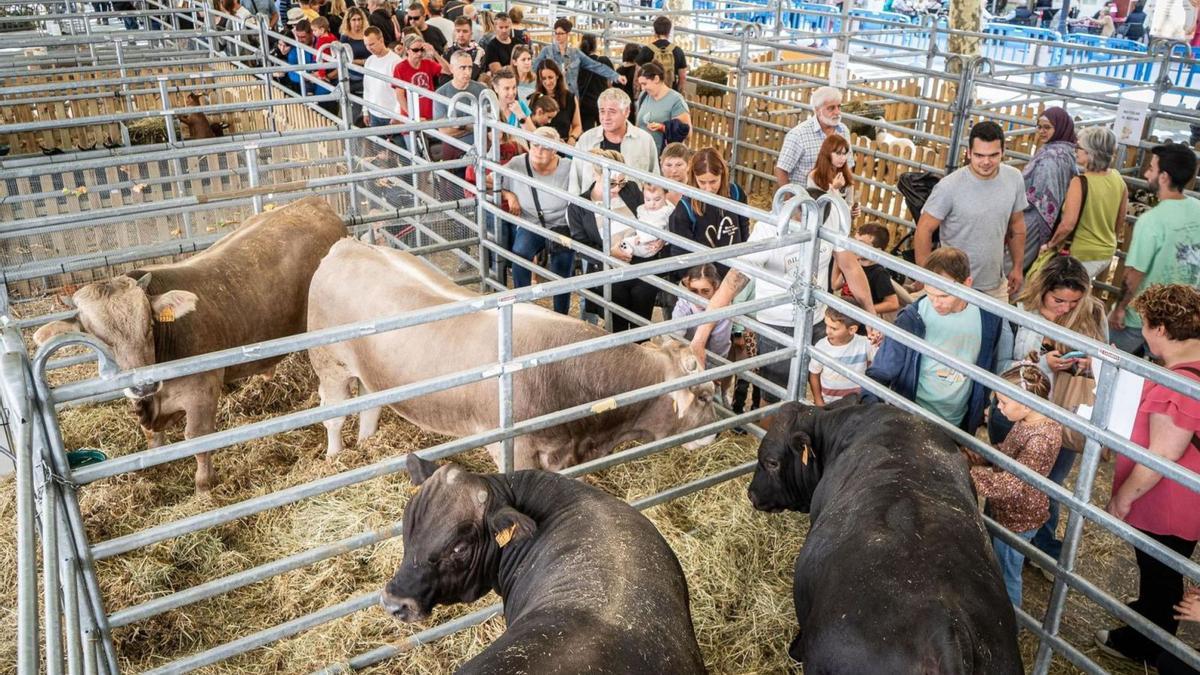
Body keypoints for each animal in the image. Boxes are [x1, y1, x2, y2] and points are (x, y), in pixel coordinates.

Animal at [36, 194, 348, 487]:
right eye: (98, 340)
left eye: (149, 326)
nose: (144, 384)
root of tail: (312, 202)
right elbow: (152, 438)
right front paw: (159, 467)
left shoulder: (202, 391)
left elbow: (197, 439)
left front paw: (204, 485)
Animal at [309, 239, 715, 470]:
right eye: (704, 395)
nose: (713, 434)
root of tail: (347, 244)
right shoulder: (515, 450)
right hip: (329, 364)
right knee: (333, 416)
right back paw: (334, 457)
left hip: (372, 373)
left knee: (370, 407)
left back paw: (367, 443)